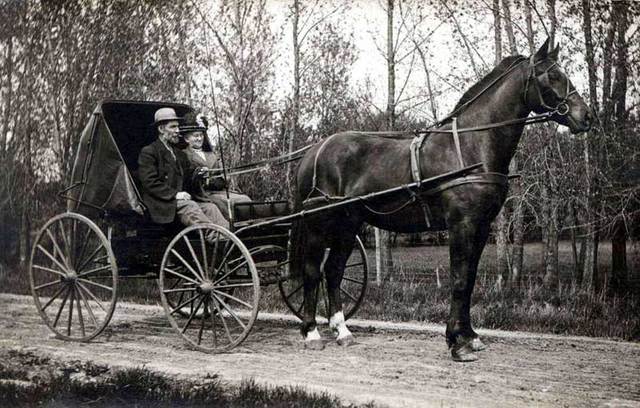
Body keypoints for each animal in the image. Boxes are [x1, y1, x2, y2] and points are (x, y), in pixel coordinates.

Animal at [289, 38, 592, 362]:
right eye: (553, 75)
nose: (585, 116)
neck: (472, 147)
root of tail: (314, 150)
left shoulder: (481, 226)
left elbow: (469, 280)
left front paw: (469, 336)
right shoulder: (462, 224)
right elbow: (458, 280)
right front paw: (457, 343)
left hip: (348, 225)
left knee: (333, 271)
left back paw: (342, 331)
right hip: (319, 225)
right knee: (312, 271)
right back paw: (311, 333)